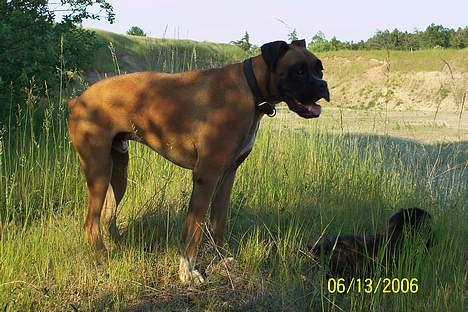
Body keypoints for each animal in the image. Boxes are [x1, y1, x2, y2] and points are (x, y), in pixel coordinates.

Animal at [67, 38, 330, 282]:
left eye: (320, 70)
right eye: (298, 71)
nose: (322, 84)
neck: (250, 87)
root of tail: (77, 99)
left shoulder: (227, 176)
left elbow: (218, 221)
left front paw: (221, 258)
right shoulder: (206, 176)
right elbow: (194, 227)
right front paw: (188, 271)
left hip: (118, 171)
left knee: (107, 215)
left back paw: (120, 248)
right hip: (99, 170)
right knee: (91, 222)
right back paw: (104, 258)